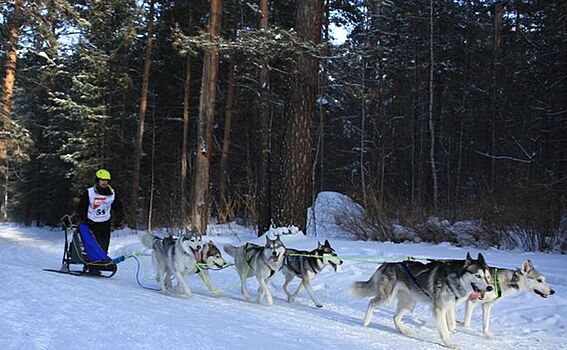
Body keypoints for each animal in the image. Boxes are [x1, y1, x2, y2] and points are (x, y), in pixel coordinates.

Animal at [352, 253, 494, 348]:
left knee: (395, 317)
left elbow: (451, 324)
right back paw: (366, 320)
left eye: (488, 277)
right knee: (371, 302)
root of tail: (387, 264)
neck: (454, 279)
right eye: (478, 275)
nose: (490, 287)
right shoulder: (439, 308)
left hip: (409, 302)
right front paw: (449, 343)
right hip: (387, 298)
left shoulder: (449, 306)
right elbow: (444, 328)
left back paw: (404, 331)